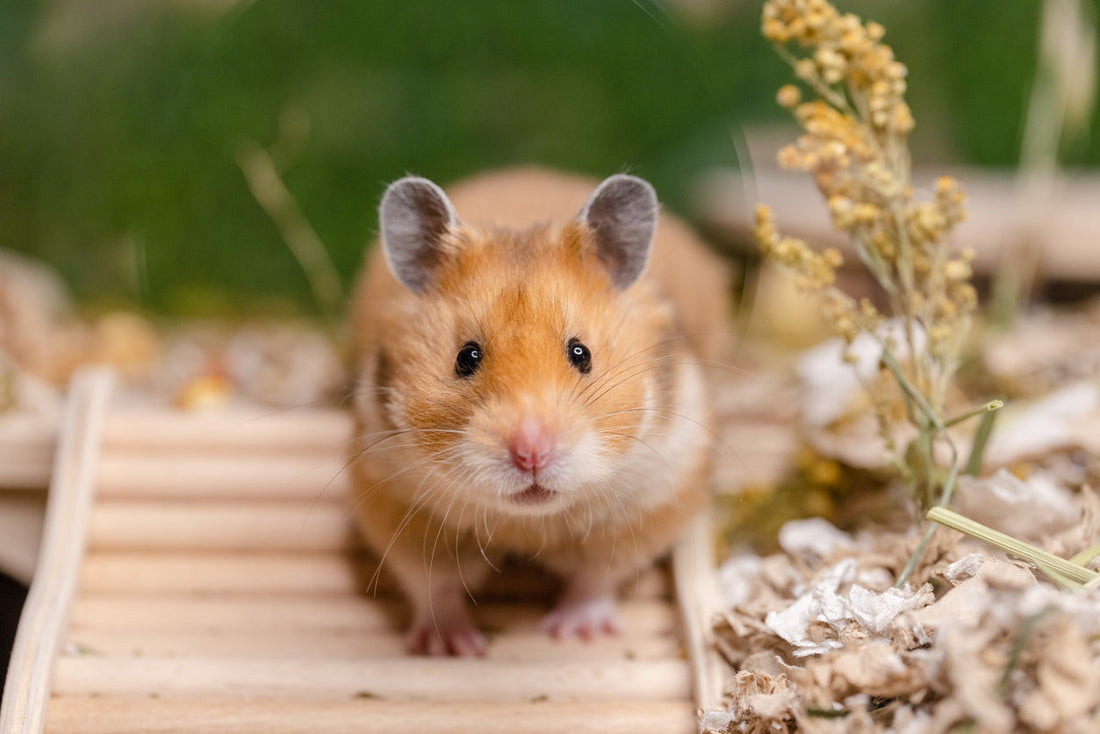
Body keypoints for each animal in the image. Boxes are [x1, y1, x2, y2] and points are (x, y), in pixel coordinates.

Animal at [349, 167, 731, 656]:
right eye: (466, 357)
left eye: (581, 353)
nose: (531, 453)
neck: (527, 522)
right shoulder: (391, 499)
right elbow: (434, 584)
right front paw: (453, 646)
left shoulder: (655, 495)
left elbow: (597, 576)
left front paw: (572, 632)